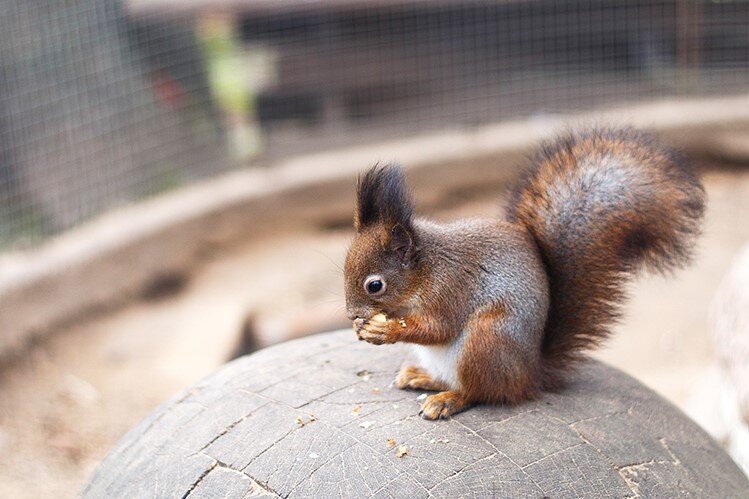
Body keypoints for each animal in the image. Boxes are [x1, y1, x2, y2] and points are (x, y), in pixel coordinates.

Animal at [342, 127, 704, 420]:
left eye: (375, 285)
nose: (350, 314)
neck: (426, 269)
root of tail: (529, 375)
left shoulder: (450, 288)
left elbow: (438, 327)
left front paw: (385, 330)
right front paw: (365, 327)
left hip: (486, 341)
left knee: (482, 392)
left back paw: (449, 399)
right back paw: (422, 376)